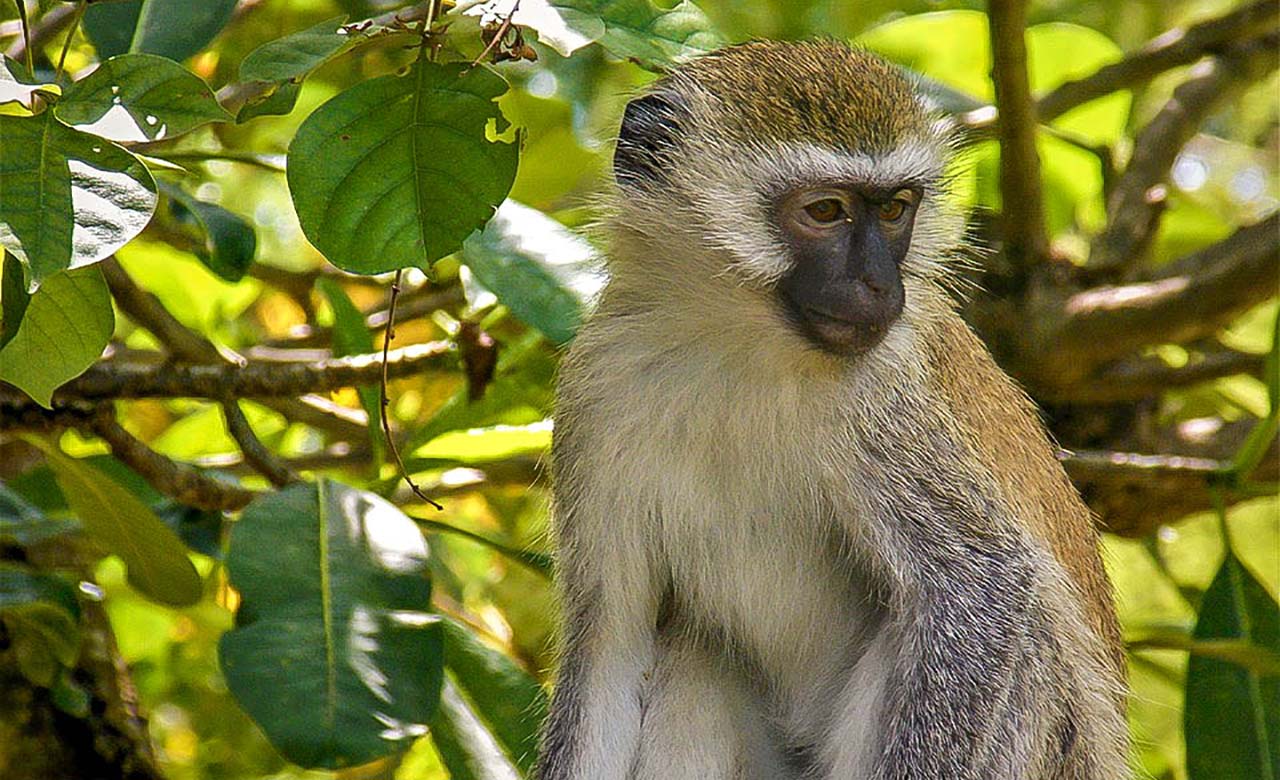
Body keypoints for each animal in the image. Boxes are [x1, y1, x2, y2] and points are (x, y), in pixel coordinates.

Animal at [540, 39, 1131, 773]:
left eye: (895, 209)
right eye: (826, 212)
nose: (878, 284)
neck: (737, 345)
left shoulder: (887, 400)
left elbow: (982, 587)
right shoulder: (595, 392)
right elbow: (612, 642)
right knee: (689, 654)